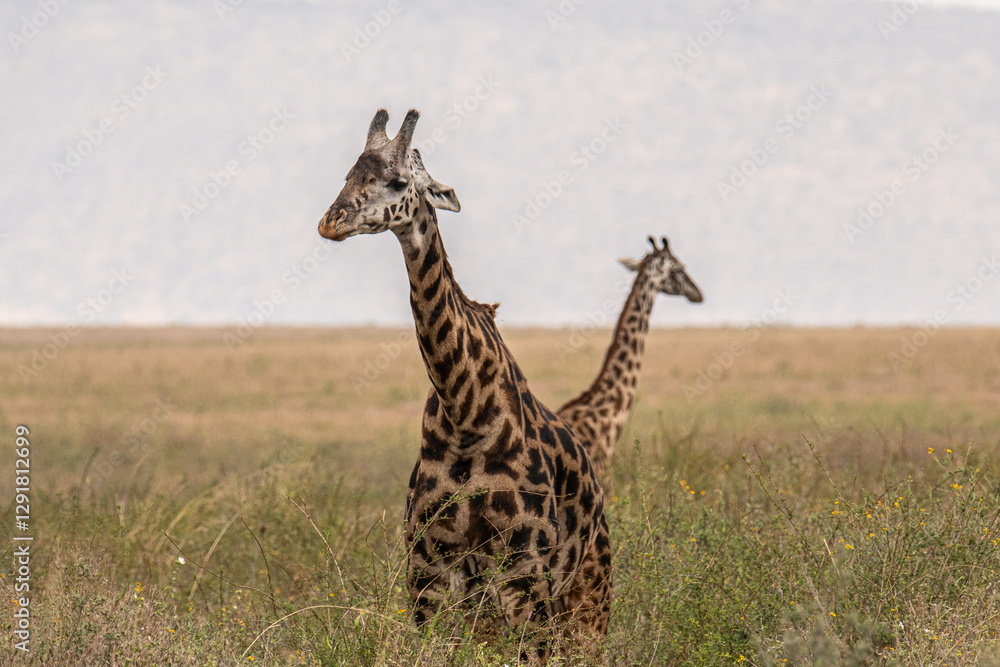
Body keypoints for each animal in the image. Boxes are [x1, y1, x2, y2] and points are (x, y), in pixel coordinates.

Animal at [317, 109, 612, 659]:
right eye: (348, 172)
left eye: (398, 180)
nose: (331, 221)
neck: (465, 409)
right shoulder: (428, 565)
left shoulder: (523, 567)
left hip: (588, 591)